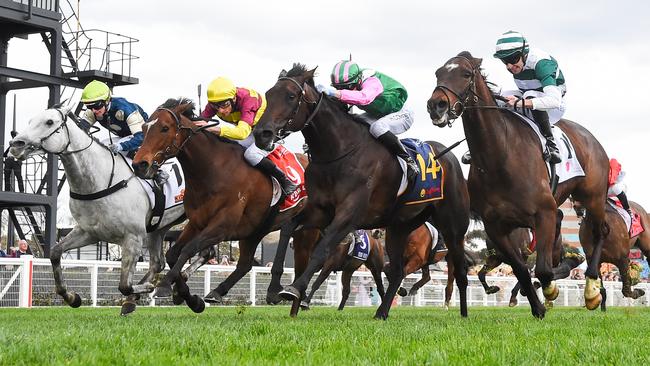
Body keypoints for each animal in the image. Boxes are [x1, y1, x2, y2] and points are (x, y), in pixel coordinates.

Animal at [8, 105, 185, 314]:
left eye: (49, 122)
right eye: (30, 121)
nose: (16, 143)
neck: (99, 180)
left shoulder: (133, 237)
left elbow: (124, 285)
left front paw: (146, 288)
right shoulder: (89, 232)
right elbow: (55, 253)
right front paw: (72, 297)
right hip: (158, 228)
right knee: (158, 262)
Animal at [130, 98, 318, 312]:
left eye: (164, 128)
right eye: (144, 128)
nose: (139, 164)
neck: (212, 170)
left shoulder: (222, 226)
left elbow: (188, 249)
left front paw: (164, 286)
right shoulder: (197, 223)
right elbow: (172, 254)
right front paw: (188, 297)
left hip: (307, 228)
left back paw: (284, 292)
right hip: (255, 231)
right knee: (245, 264)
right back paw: (219, 291)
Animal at [251, 64, 468, 318]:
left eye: (291, 96)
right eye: (268, 94)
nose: (261, 134)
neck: (338, 152)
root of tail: (449, 155)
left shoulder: (348, 215)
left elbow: (322, 250)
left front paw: (295, 289)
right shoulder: (320, 211)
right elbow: (287, 229)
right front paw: (274, 287)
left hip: (453, 227)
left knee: (459, 270)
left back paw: (463, 314)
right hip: (399, 227)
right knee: (396, 271)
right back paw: (381, 313)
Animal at [426, 51, 608, 318]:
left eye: (466, 74)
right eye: (438, 73)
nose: (436, 105)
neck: (499, 157)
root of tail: (591, 137)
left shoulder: (543, 213)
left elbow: (542, 270)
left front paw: (550, 291)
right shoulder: (495, 226)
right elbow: (522, 269)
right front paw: (537, 306)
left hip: (592, 197)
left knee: (600, 232)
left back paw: (592, 289)